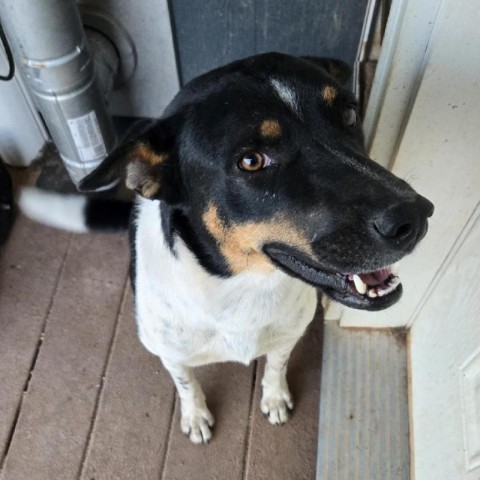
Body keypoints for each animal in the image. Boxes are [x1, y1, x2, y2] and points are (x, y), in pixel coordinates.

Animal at [20, 52, 436, 442]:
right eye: (251, 161)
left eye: (349, 114)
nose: (416, 217)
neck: (242, 288)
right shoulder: (171, 354)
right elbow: (187, 384)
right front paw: (196, 417)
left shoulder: (288, 333)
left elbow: (277, 365)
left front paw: (274, 397)